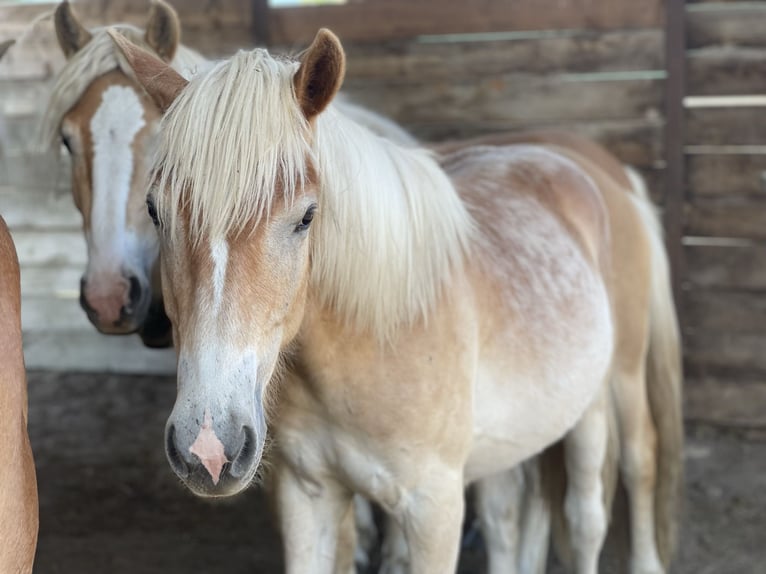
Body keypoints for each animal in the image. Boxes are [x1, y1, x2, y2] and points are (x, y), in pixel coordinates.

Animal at [106, 28, 684, 574]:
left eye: (307, 216)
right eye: (155, 211)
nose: (208, 447)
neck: (375, 340)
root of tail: (603, 178)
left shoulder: (435, 510)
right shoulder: (308, 496)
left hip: (614, 390)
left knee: (611, 494)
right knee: (510, 521)